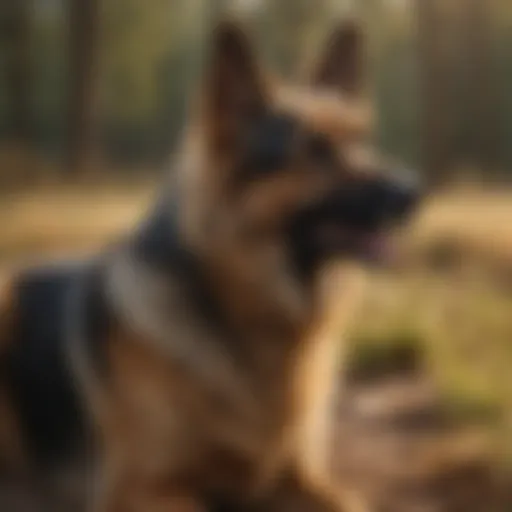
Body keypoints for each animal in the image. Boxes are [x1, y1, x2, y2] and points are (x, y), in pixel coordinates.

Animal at [0, 20, 420, 512]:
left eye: (360, 141)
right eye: (314, 151)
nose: (414, 191)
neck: (247, 320)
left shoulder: (299, 477)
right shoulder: (140, 487)